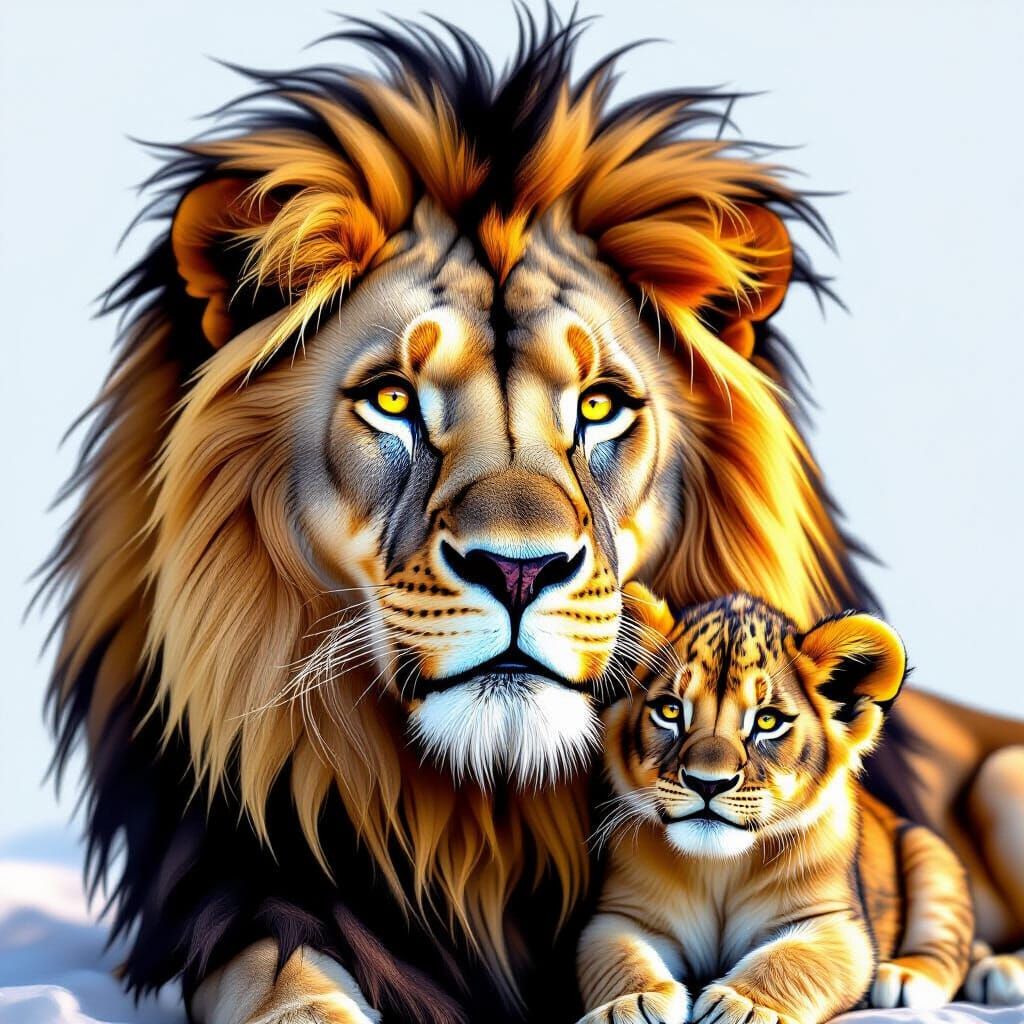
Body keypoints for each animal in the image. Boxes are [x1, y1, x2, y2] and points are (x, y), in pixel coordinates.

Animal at [40, 10, 1024, 1024]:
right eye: (392, 400)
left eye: (598, 406)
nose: (519, 569)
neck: (492, 812)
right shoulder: (251, 898)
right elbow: (288, 987)